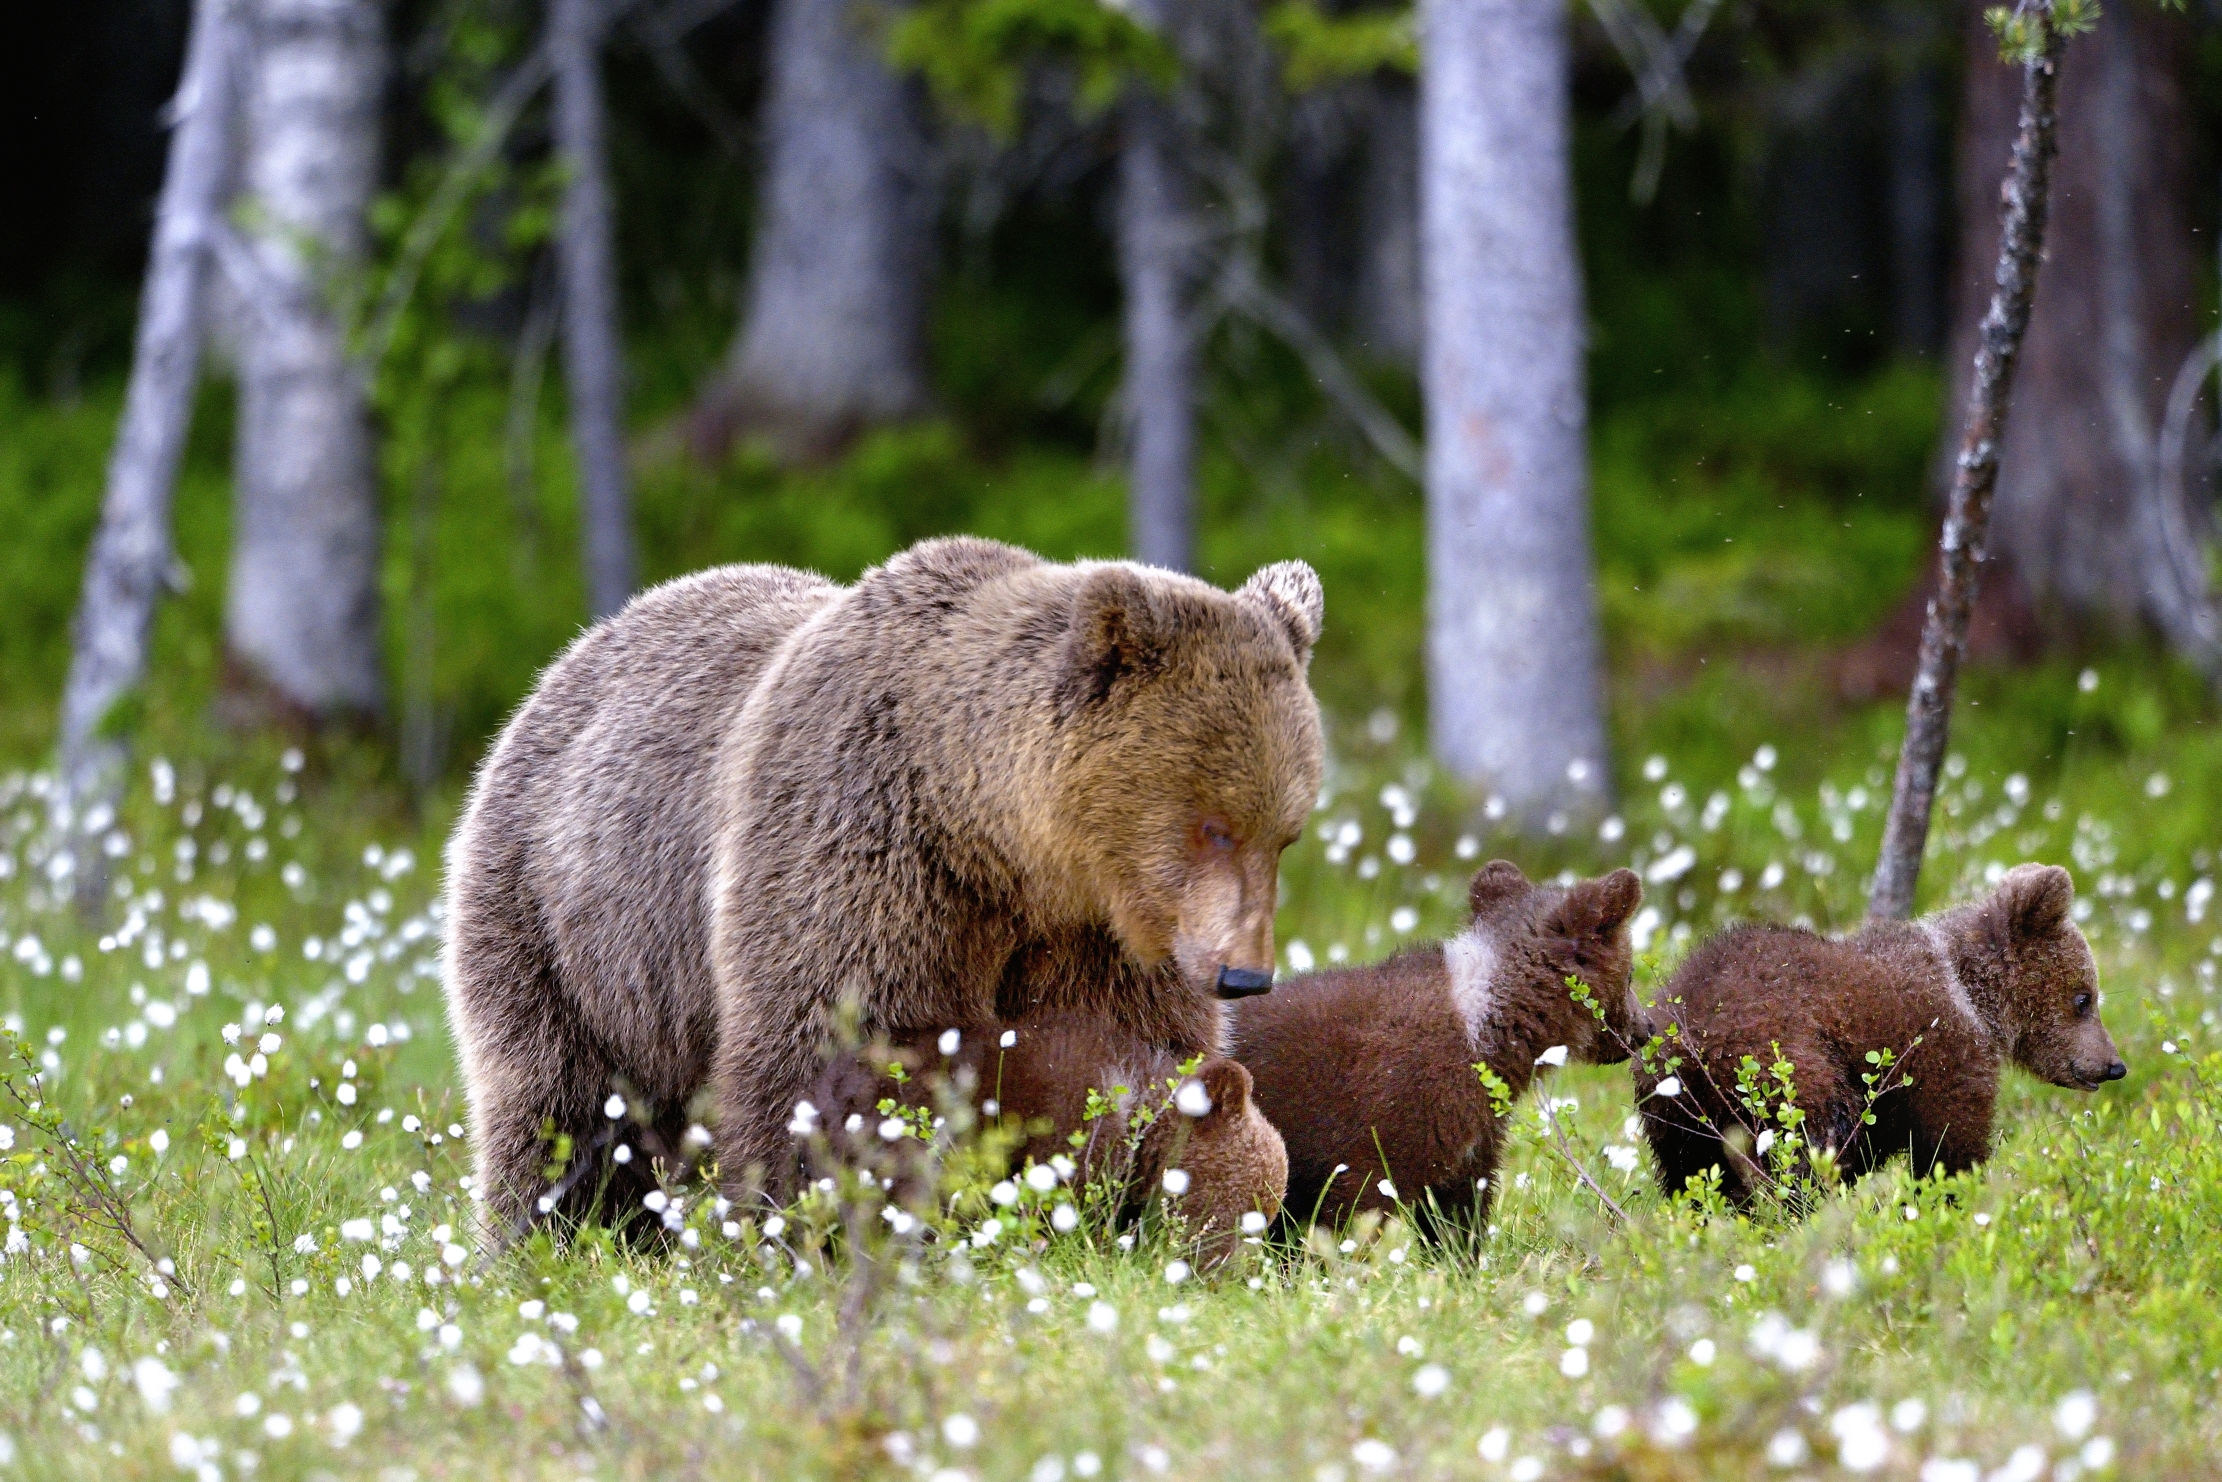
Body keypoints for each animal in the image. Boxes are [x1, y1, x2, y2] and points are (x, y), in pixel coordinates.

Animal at [1226, 862, 1644, 1235]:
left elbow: (1457, 1215)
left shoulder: (1472, 1136)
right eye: (1630, 976)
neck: (1491, 1023)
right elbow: (1356, 1209)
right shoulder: (1385, 1122)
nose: (1645, 1029)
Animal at [1635, 857, 2133, 1208]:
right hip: (1782, 1063)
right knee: (1807, 1148)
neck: (1974, 997)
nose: (2114, 1065)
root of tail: (1688, 1042)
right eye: (2084, 998)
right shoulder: (1941, 1055)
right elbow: (1949, 1145)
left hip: (1675, 1117)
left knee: (1692, 1178)